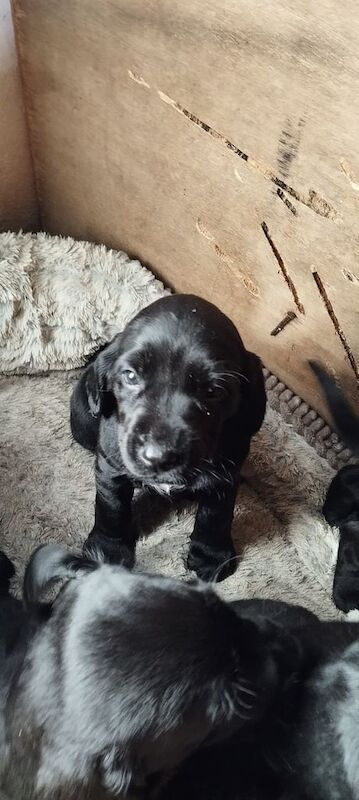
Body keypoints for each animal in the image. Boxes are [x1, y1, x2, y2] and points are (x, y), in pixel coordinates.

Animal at [71, 294, 268, 580]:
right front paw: (106, 550)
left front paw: (211, 556)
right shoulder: (110, 466)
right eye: (130, 375)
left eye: (214, 390)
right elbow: (111, 508)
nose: (158, 457)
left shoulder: (226, 474)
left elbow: (216, 515)